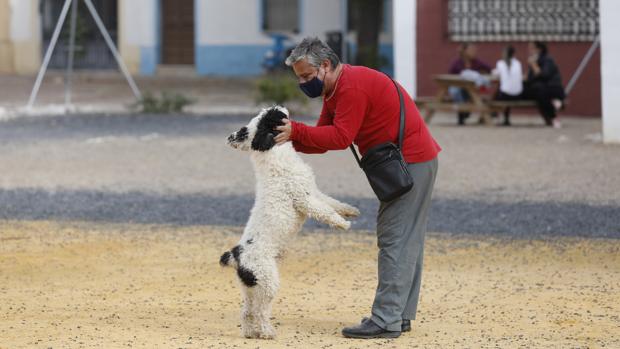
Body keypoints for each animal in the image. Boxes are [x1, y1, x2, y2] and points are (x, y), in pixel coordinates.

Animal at [222, 105, 358, 338]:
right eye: (266, 118)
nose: (276, 107)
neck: (274, 155)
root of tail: (237, 256)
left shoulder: (313, 192)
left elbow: (332, 203)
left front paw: (351, 211)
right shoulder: (304, 199)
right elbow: (324, 212)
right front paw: (343, 224)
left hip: (250, 288)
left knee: (247, 311)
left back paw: (250, 333)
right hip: (268, 283)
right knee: (260, 312)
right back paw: (267, 333)